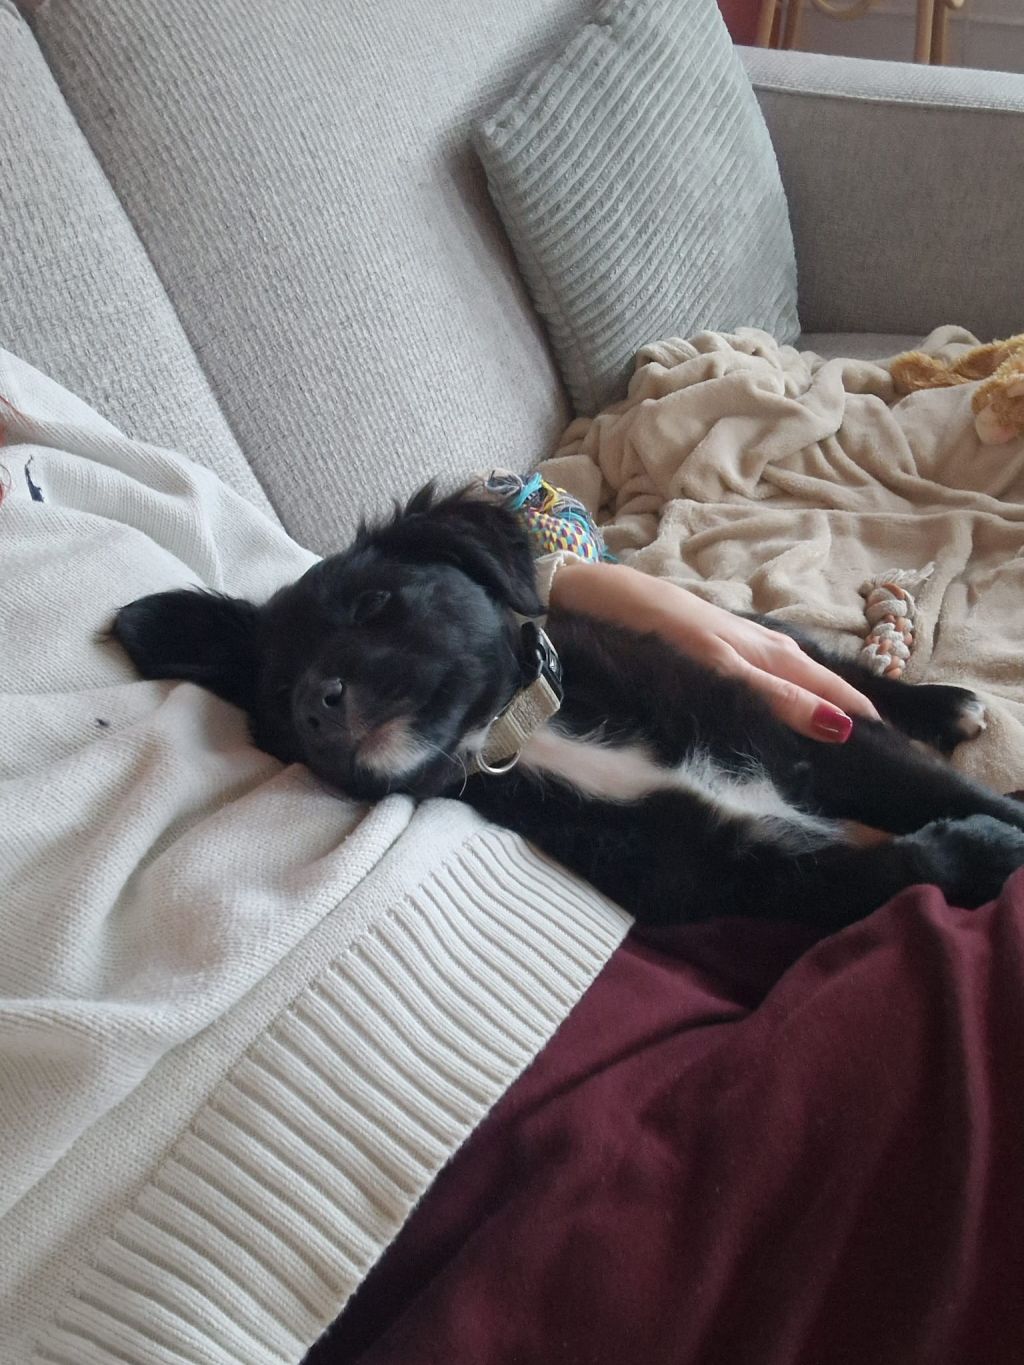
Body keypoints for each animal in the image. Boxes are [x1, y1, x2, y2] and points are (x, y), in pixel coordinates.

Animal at [110, 484, 1024, 932]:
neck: (515, 731)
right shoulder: (715, 867)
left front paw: (998, 816)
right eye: (275, 691)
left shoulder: (803, 737)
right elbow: (882, 871)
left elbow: (929, 786)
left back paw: (944, 702)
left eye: (375, 604)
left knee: (836, 669)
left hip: (758, 650)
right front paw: (984, 852)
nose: (313, 701)